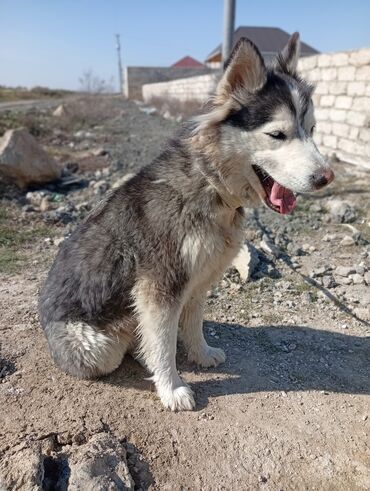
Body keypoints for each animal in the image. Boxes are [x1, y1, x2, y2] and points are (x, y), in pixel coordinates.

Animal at [39, 31, 334, 412]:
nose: (326, 178)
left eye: (312, 130)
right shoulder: (160, 286)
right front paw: (171, 388)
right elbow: (164, 343)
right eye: (277, 135)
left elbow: (192, 324)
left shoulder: (199, 278)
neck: (211, 186)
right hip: (95, 345)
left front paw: (201, 354)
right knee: (124, 347)